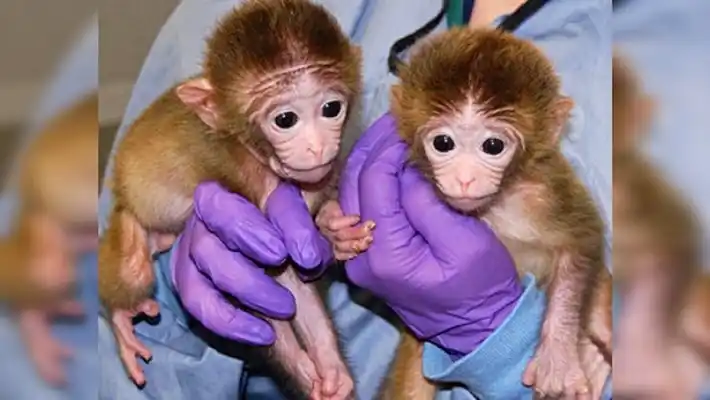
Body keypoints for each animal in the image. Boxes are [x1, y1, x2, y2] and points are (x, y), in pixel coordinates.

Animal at [97, 1, 360, 398]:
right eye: (285, 119)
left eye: (331, 108)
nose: (316, 146)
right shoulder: (246, 182)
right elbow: (273, 281)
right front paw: (304, 366)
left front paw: (336, 229)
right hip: (129, 216)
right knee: (133, 266)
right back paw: (120, 321)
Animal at [362, 28, 612, 399]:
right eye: (444, 143)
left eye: (492, 146)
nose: (465, 178)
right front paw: (340, 232)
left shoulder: (548, 192)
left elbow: (582, 243)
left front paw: (558, 357)